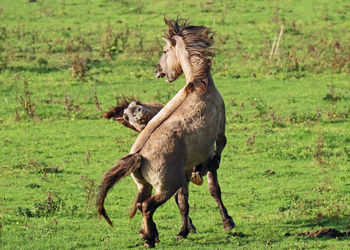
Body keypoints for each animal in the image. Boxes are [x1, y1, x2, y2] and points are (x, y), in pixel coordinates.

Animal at [98, 18, 235, 248]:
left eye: (163, 51)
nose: (158, 71)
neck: (199, 84)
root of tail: (139, 156)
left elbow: (185, 200)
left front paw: (185, 230)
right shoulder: (219, 133)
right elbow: (213, 181)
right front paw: (227, 222)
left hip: (144, 186)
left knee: (141, 203)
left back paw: (150, 234)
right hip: (165, 187)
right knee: (147, 206)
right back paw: (150, 238)